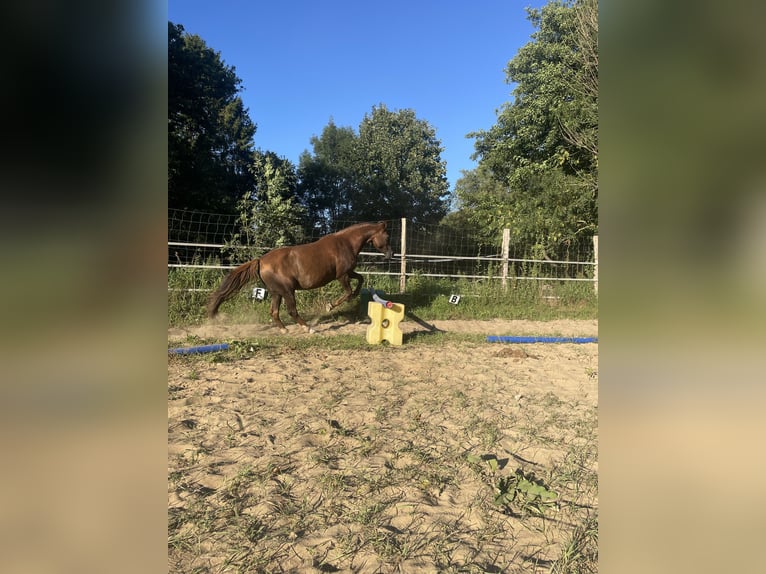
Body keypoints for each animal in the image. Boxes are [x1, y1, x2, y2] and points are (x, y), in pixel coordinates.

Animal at [207, 221, 394, 333]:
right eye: (387, 236)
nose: (391, 254)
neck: (345, 243)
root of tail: (261, 261)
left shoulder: (348, 272)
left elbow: (360, 280)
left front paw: (352, 298)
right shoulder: (341, 275)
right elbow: (347, 292)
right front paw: (330, 306)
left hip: (276, 292)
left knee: (274, 312)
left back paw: (284, 330)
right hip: (288, 291)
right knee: (291, 311)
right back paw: (308, 328)